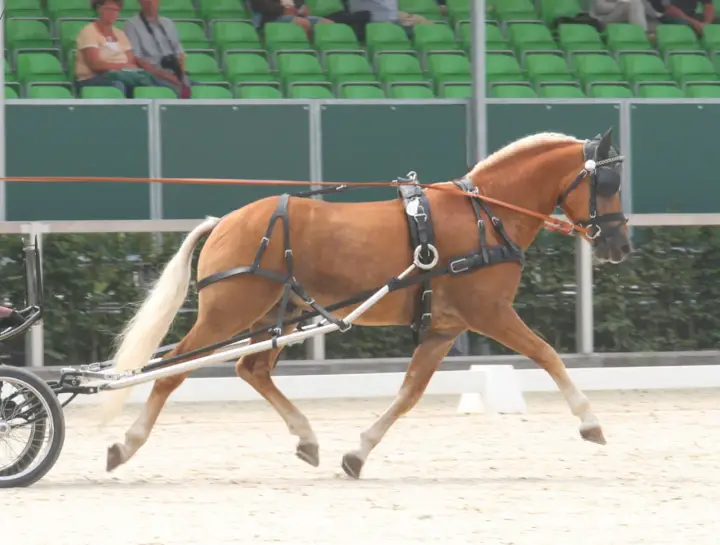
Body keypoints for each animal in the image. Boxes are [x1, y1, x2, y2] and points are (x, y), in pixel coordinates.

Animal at [98, 128, 632, 479]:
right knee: (172, 368)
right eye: (607, 185)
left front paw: (358, 454)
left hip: (275, 317)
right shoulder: (490, 312)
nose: (620, 245)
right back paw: (126, 444)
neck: (486, 215)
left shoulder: (444, 328)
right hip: (229, 311)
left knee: (251, 369)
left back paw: (307, 437)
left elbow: (409, 392)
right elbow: (546, 354)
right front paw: (590, 423)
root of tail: (226, 221)